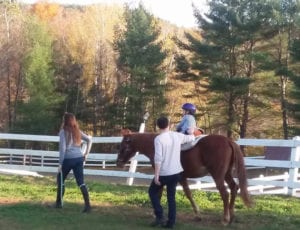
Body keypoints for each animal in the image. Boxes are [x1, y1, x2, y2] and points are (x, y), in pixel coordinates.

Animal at [116, 131, 252, 225]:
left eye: (123, 147)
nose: (118, 163)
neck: (154, 144)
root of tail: (228, 140)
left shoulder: (162, 176)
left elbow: (160, 193)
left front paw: (156, 214)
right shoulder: (182, 177)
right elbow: (188, 194)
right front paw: (197, 215)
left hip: (218, 175)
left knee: (224, 193)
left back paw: (225, 219)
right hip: (227, 174)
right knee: (234, 188)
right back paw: (232, 215)